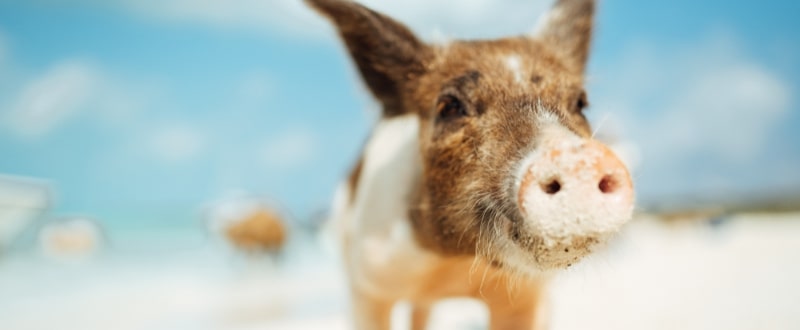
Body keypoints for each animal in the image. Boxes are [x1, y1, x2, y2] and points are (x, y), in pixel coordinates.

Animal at [310, 1, 636, 328]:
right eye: (449, 107)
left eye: (580, 103)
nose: (576, 158)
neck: (457, 264)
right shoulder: (368, 286)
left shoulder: (526, 296)